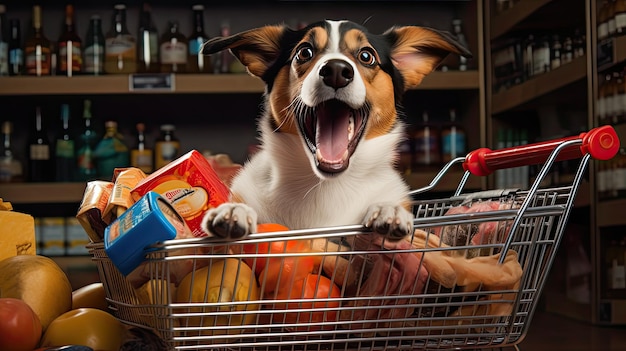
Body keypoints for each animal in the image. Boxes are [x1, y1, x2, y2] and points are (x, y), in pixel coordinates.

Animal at [199, 19, 468, 242]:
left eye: (366, 55)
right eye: (304, 52)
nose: (337, 71)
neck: (324, 186)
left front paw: (388, 210)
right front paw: (235, 211)